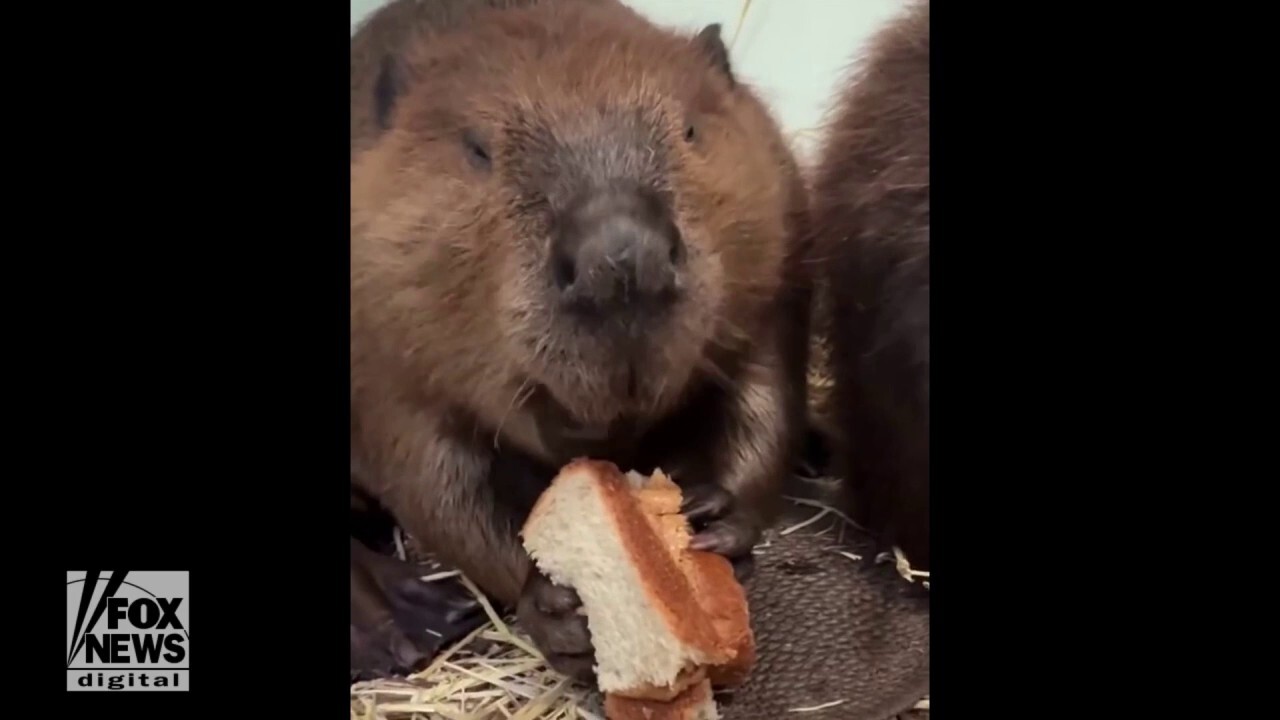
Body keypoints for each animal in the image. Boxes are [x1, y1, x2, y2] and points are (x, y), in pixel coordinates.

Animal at [348, 0, 808, 676]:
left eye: (690, 129)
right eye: (476, 149)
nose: (621, 261)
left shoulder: (774, 261)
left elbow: (766, 396)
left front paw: (714, 516)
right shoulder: (383, 358)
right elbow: (437, 486)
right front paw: (555, 605)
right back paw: (403, 620)